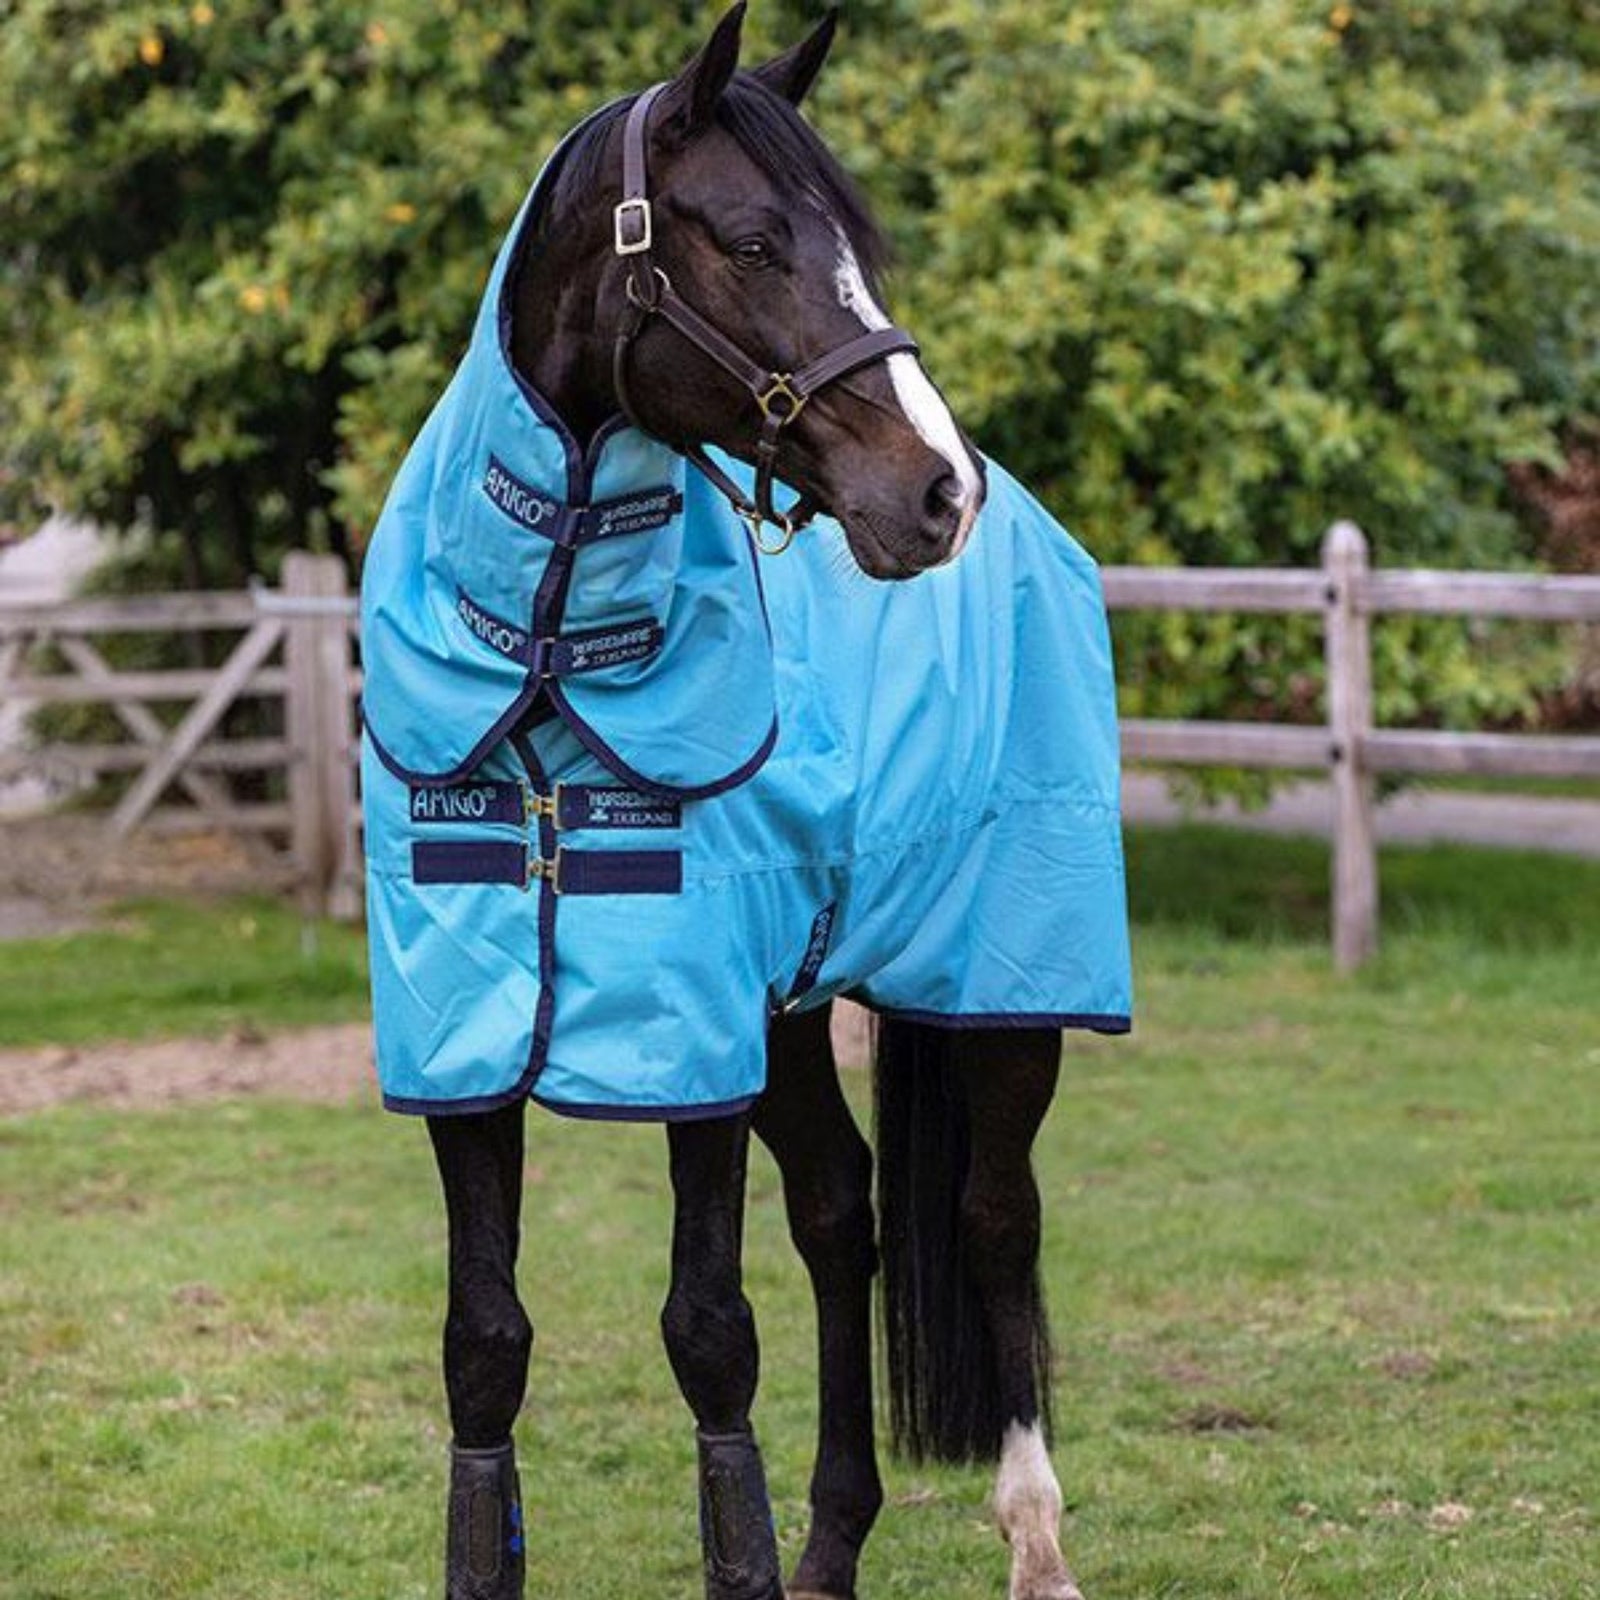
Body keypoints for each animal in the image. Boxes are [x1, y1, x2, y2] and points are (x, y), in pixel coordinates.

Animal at [357, 7, 1132, 1598]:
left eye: (859, 251)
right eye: (758, 241)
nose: (938, 492)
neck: (548, 648)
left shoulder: (689, 1035)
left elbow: (708, 1331)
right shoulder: (468, 1040)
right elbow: (484, 1342)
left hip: (1005, 985)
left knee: (995, 1219)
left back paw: (1036, 1542)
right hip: (788, 1014)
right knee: (842, 1218)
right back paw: (833, 1540)